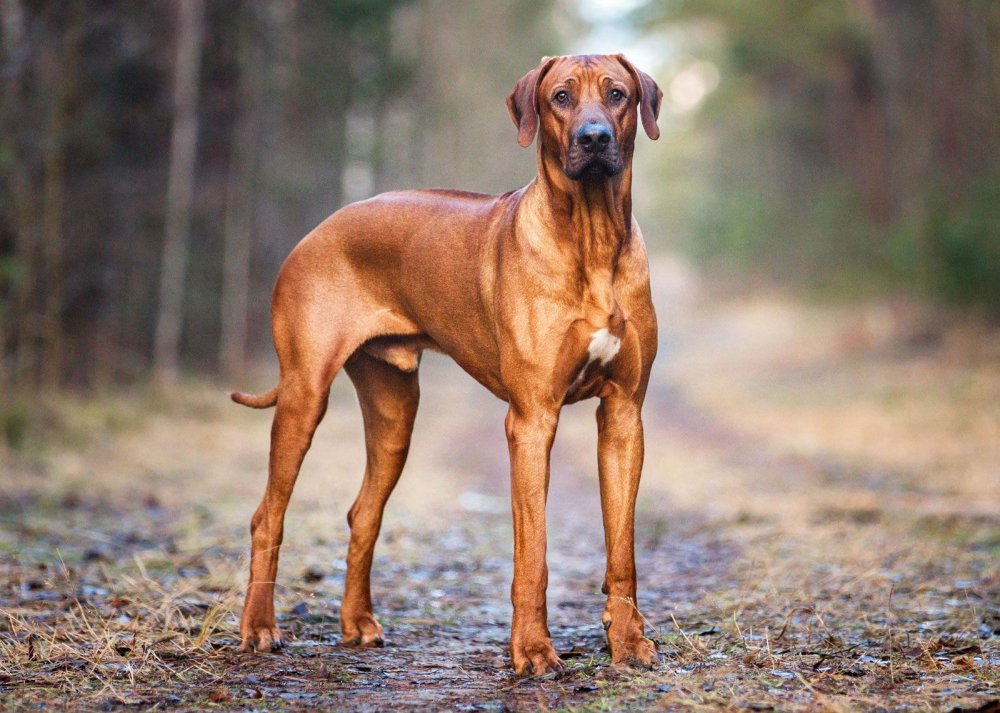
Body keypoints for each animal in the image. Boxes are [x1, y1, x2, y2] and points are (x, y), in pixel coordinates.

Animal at [230, 54, 660, 672]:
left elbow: (622, 550)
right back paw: (260, 627)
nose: (595, 137)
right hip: (303, 394)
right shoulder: (532, 421)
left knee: (363, 512)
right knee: (268, 516)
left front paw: (626, 641)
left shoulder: (625, 416)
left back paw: (357, 623)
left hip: (394, 412)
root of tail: (317, 229)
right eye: (560, 97)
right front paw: (533, 650)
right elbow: (533, 554)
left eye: (617, 94)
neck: (592, 237)